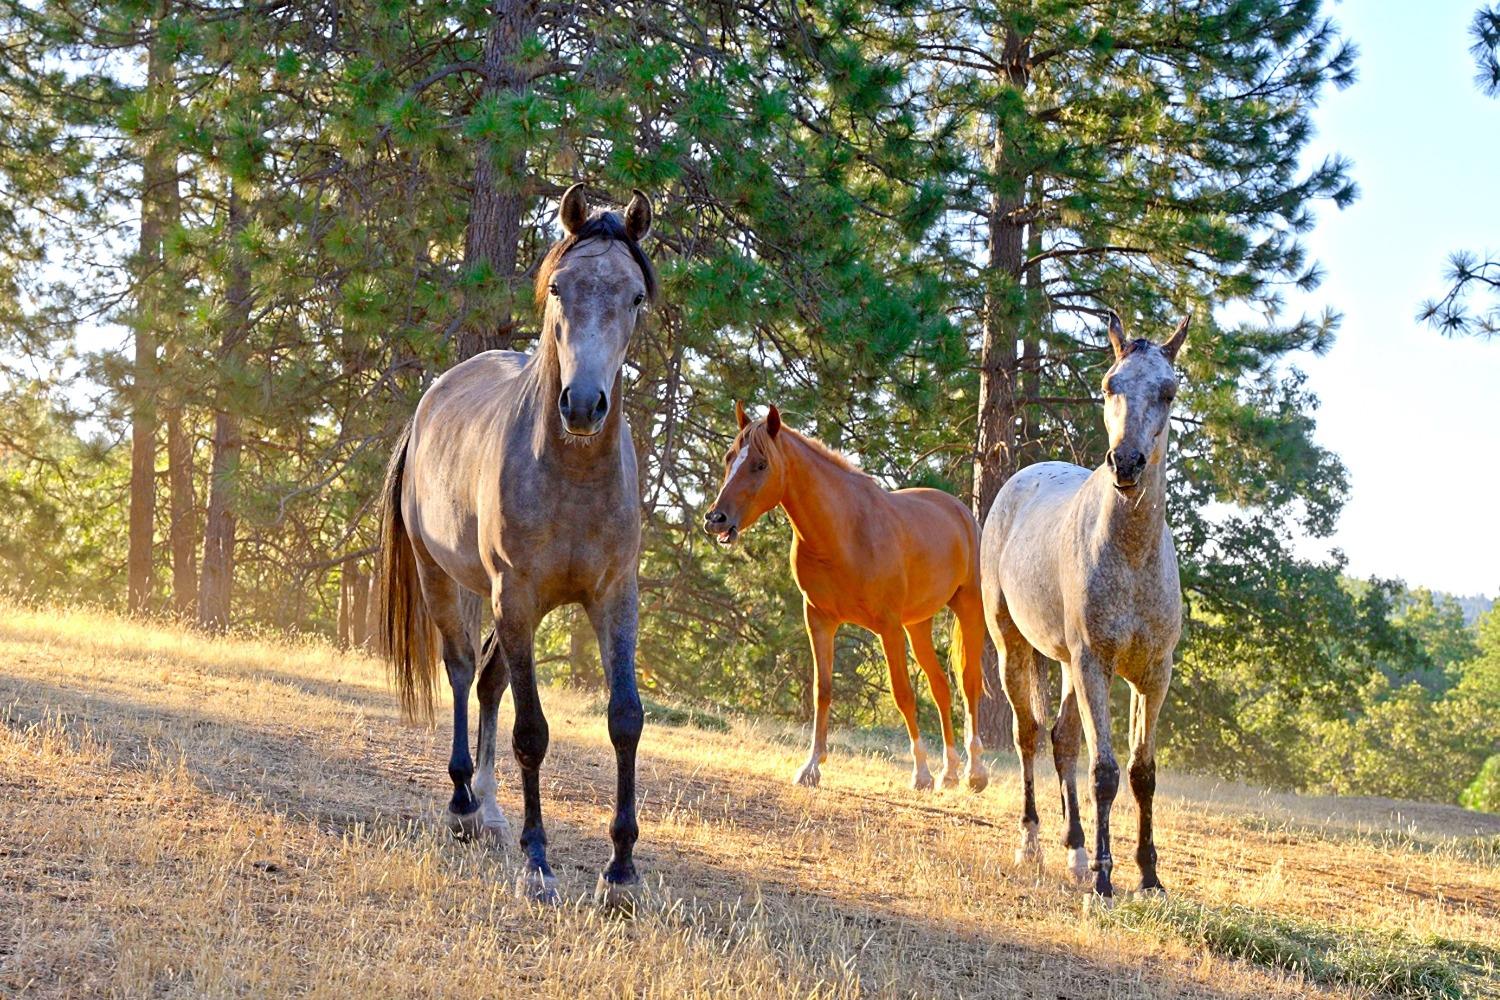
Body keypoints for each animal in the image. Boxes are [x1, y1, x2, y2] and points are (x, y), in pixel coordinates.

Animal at [378, 182, 654, 905]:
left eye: (634, 297)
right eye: (559, 286)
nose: (582, 405)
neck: (572, 473)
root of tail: (430, 402)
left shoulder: (615, 598)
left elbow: (625, 719)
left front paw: (621, 872)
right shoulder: (519, 596)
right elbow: (533, 731)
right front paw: (539, 863)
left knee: (489, 682)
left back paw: (492, 809)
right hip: (452, 583)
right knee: (459, 671)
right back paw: (462, 805)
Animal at [705, 401, 990, 791]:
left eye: (760, 464)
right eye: (729, 457)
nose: (715, 519)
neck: (843, 533)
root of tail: (962, 513)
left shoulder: (887, 627)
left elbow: (903, 694)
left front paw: (920, 773)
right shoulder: (820, 620)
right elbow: (821, 691)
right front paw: (811, 767)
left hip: (968, 608)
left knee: (968, 681)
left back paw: (975, 772)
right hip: (918, 624)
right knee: (941, 686)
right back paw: (949, 772)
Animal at [978, 313, 1188, 899]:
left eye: (1168, 391)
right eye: (1109, 384)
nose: (1127, 463)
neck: (1132, 555)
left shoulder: (1153, 674)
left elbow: (1142, 772)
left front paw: (1149, 876)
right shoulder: (1096, 663)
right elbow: (1105, 772)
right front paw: (1104, 879)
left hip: (1070, 665)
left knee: (1062, 741)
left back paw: (1072, 851)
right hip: (1014, 648)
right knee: (1029, 735)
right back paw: (1032, 844)